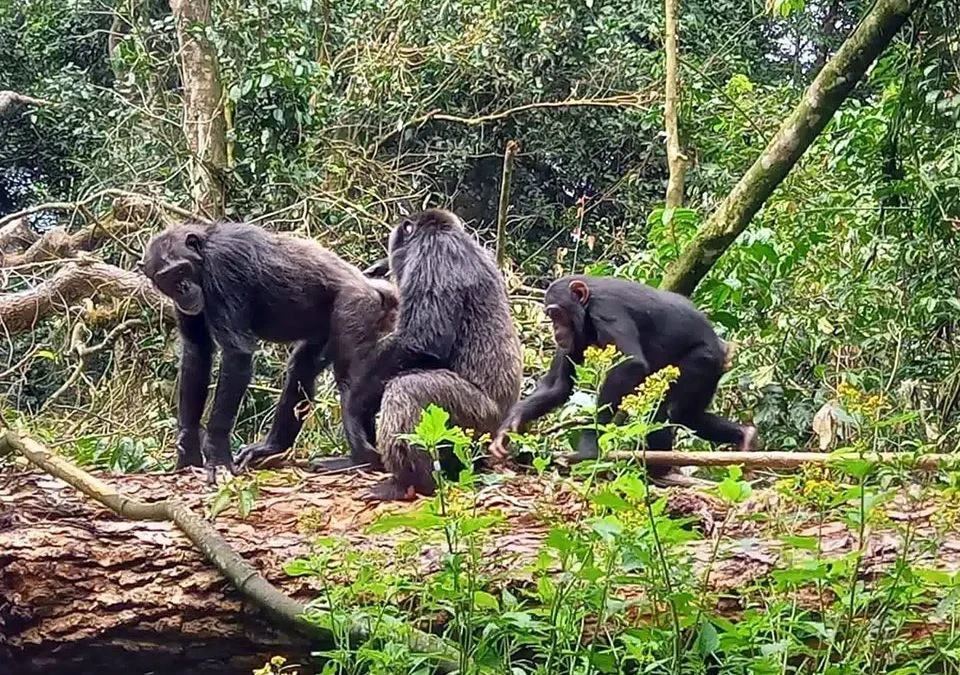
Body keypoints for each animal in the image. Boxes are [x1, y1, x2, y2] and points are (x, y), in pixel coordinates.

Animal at [140, 221, 398, 481]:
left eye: (182, 270)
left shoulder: (224, 265)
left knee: (349, 380)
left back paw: (360, 459)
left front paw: (217, 457)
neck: (203, 257)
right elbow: (197, 352)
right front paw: (188, 452)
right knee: (302, 368)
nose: (182, 288)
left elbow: (236, 355)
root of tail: (374, 288)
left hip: (355, 308)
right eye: (168, 278)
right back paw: (271, 447)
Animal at [317, 208, 523, 501]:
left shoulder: (431, 258)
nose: (383, 261)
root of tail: (501, 430)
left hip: (475, 421)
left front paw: (354, 407)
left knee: (408, 391)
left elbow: (421, 341)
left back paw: (406, 483)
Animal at [489, 275, 757, 476]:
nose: (555, 330)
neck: (586, 308)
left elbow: (631, 364)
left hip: (703, 361)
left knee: (671, 411)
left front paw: (590, 446)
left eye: (556, 314)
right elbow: (558, 386)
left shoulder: (607, 311)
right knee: (686, 414)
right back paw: (745, 437)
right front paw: (509, 428)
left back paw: (660, 468)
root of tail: (724, 350)